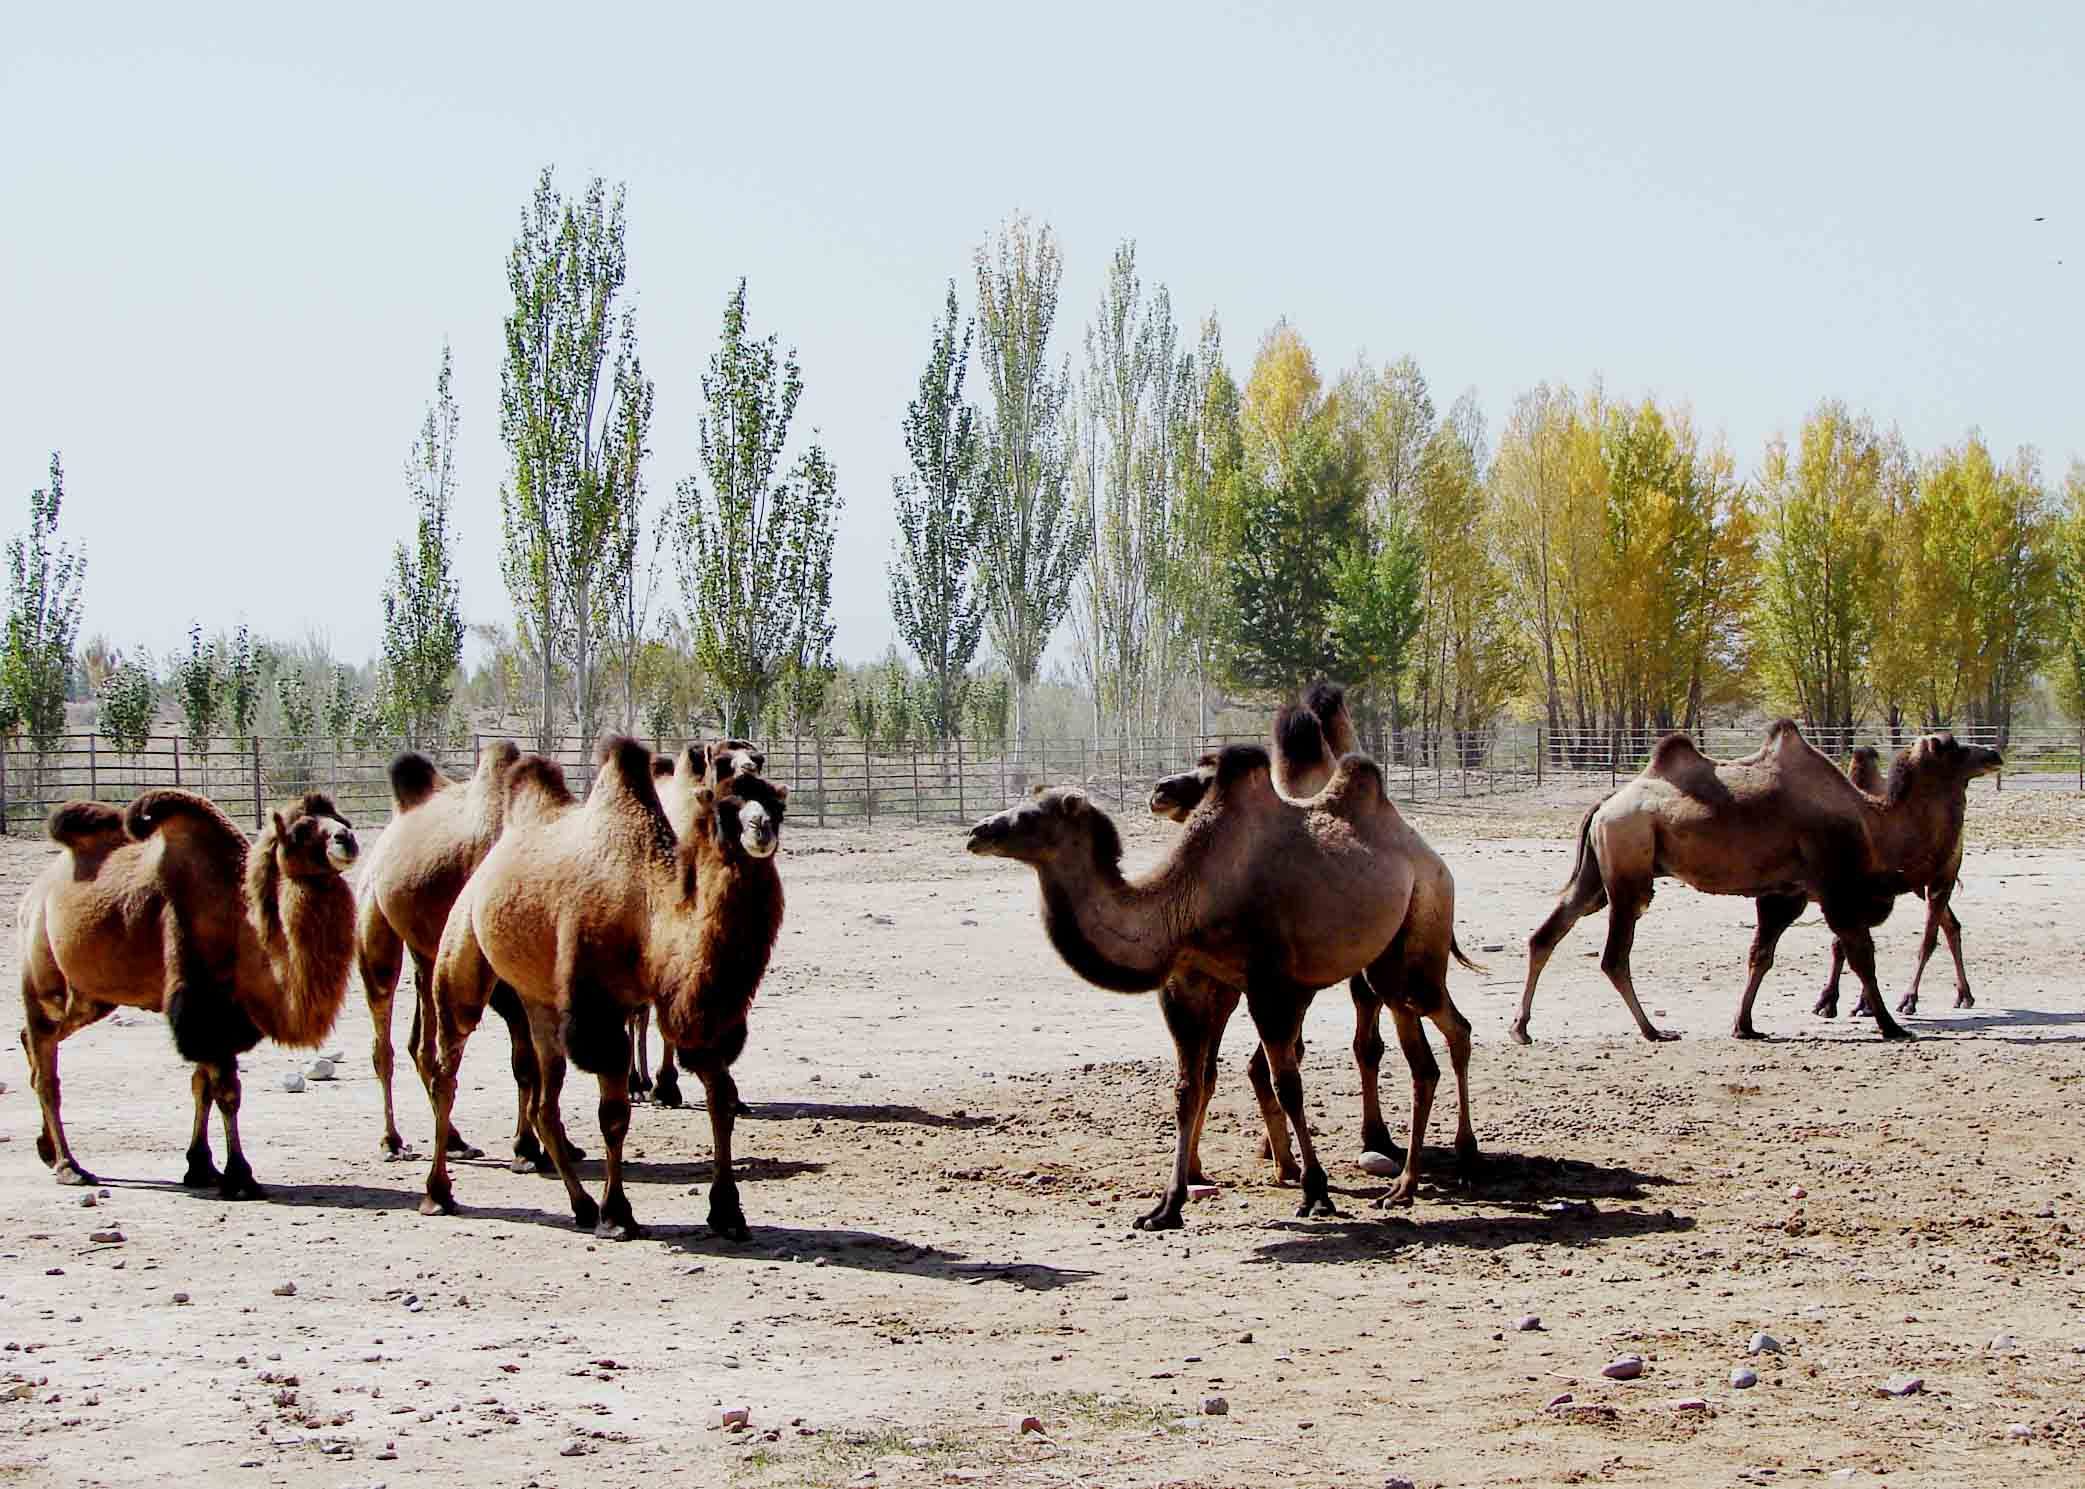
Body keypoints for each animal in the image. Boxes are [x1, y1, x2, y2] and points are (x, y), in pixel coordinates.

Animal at [20, 788, 360, 1192]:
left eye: (342, 819)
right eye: (301, 831)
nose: (346, 838)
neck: (243, 925)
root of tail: (35, 894)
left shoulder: (219, 1017)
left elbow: (202, 1086)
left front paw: (201, 1167)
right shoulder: (200, 1008)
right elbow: (227, 1093)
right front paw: (240, 1176)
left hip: (91, 997)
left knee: (36, 1040)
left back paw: (46, 1149)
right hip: (42, 974)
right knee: (46, 1065)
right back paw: (69, 1166)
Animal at [633, 734, 775, 1101]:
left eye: (759, 759)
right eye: (723, 762)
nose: (749, 769)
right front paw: (666, 1085)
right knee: (638, 1013)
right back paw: (638, 1083)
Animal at [1150, 679, 1476, 1184]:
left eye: (1207, 777)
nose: (1161, 790)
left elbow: (1342, 1049)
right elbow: (1231, 1064)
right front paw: (1256, 1156)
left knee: (1411, 1030)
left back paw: (1449, 1145)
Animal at [1517, 717, 2001, 1042]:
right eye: (1954, 747)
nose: (1993, 754)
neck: (1872, 822)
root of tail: (1603, 805)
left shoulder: (1785, 894)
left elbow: (1760, 956)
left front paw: (1744, 1025)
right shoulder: (1835, 888)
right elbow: (1861, 956)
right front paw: (1890, 1024)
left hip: (1597, 875)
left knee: (1548, 933)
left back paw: (1521, 1027)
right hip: (1629, 867)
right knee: (1614, 956)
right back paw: (1654, 1029)